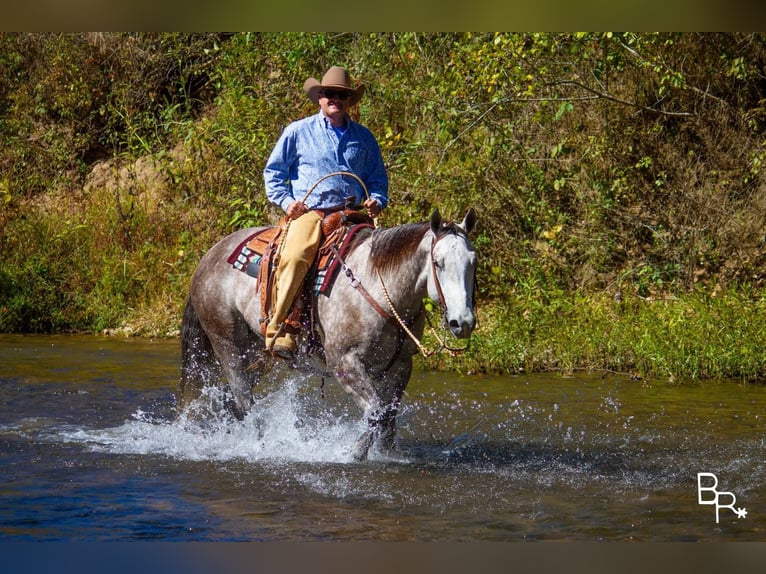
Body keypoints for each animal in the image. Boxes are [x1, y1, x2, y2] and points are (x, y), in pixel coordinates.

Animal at [182, 209, 480, 462]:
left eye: (473, 261)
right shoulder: (345, 363)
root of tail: (209, 256)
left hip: (254, 353)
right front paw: (353, 454)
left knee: (232, 398)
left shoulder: (400, 365)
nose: (462, 322)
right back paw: (259, 444)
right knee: (243, 399)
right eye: (438, 263)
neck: (378, 286)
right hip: (228, 345)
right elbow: (376, 412)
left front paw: (386, 454)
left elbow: (388, 416)